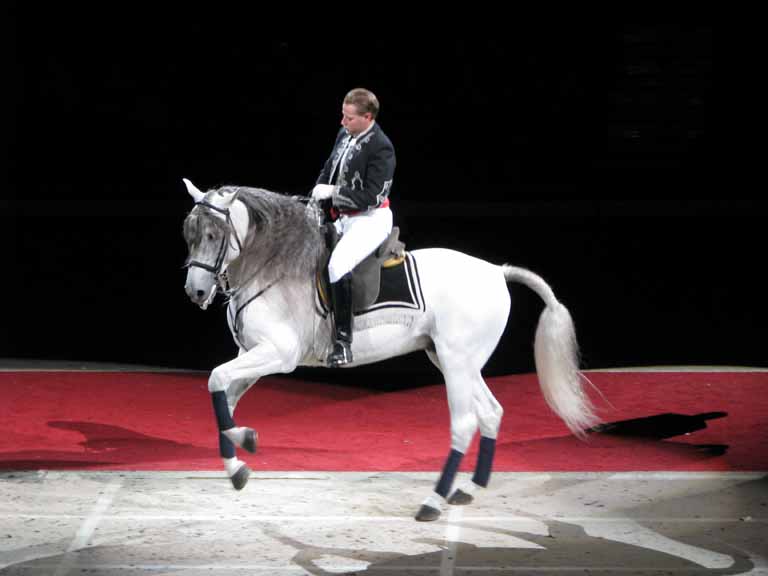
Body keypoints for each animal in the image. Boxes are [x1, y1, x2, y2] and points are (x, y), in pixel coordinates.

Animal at [182, 180, 600, 520]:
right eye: (190, 234)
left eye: (215, 234)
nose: (196, 292)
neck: (273, 266)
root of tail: (497, 271)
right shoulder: (250, 354)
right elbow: (223, 396)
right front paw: (238, 462)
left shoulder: (278, 354)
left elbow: (216, 379)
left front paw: (243, 447)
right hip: (455, 362)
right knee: (491, 413)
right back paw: (467, 489)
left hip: (456, 363)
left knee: (465, 423)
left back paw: (433, 502)